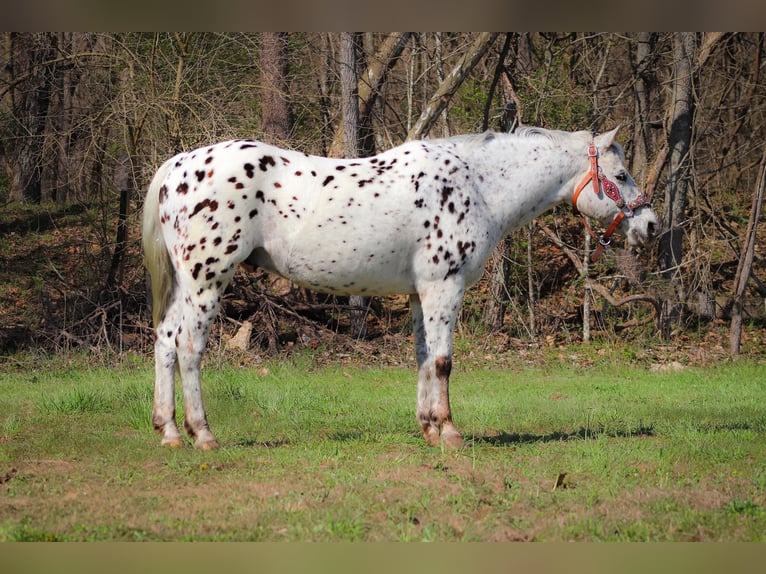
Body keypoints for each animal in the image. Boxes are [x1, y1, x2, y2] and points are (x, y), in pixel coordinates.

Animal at [142, 126, 660, 450]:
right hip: (207, 280)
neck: (478, 185)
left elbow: (423, 358)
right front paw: (449, 432)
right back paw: (202, 434)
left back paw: (168, 431)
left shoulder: (419, 294)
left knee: (165, 342)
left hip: (186, 286)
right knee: (188, 347)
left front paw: (428, 428)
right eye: (620, 175)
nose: (651, 226)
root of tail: (180, 165)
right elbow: (445, 361)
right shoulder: (445, 288)